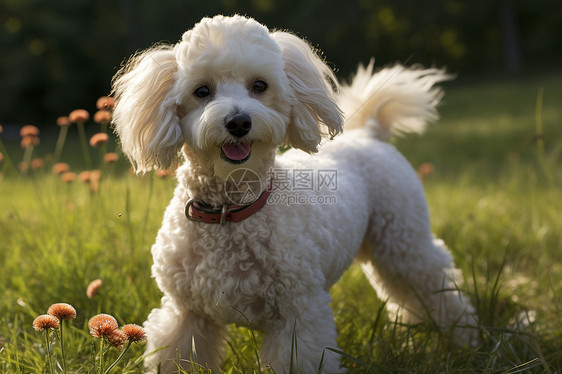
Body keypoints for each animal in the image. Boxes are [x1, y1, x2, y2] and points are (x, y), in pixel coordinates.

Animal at [111, 13, 474, 372]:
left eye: (259, 86)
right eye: (202, 91)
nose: (239, 122)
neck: (233, 212)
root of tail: (369, 133)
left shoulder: (298, 315)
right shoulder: (186, 312)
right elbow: (179, 353)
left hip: (404, 243)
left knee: (437, 288)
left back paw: (463, 339)